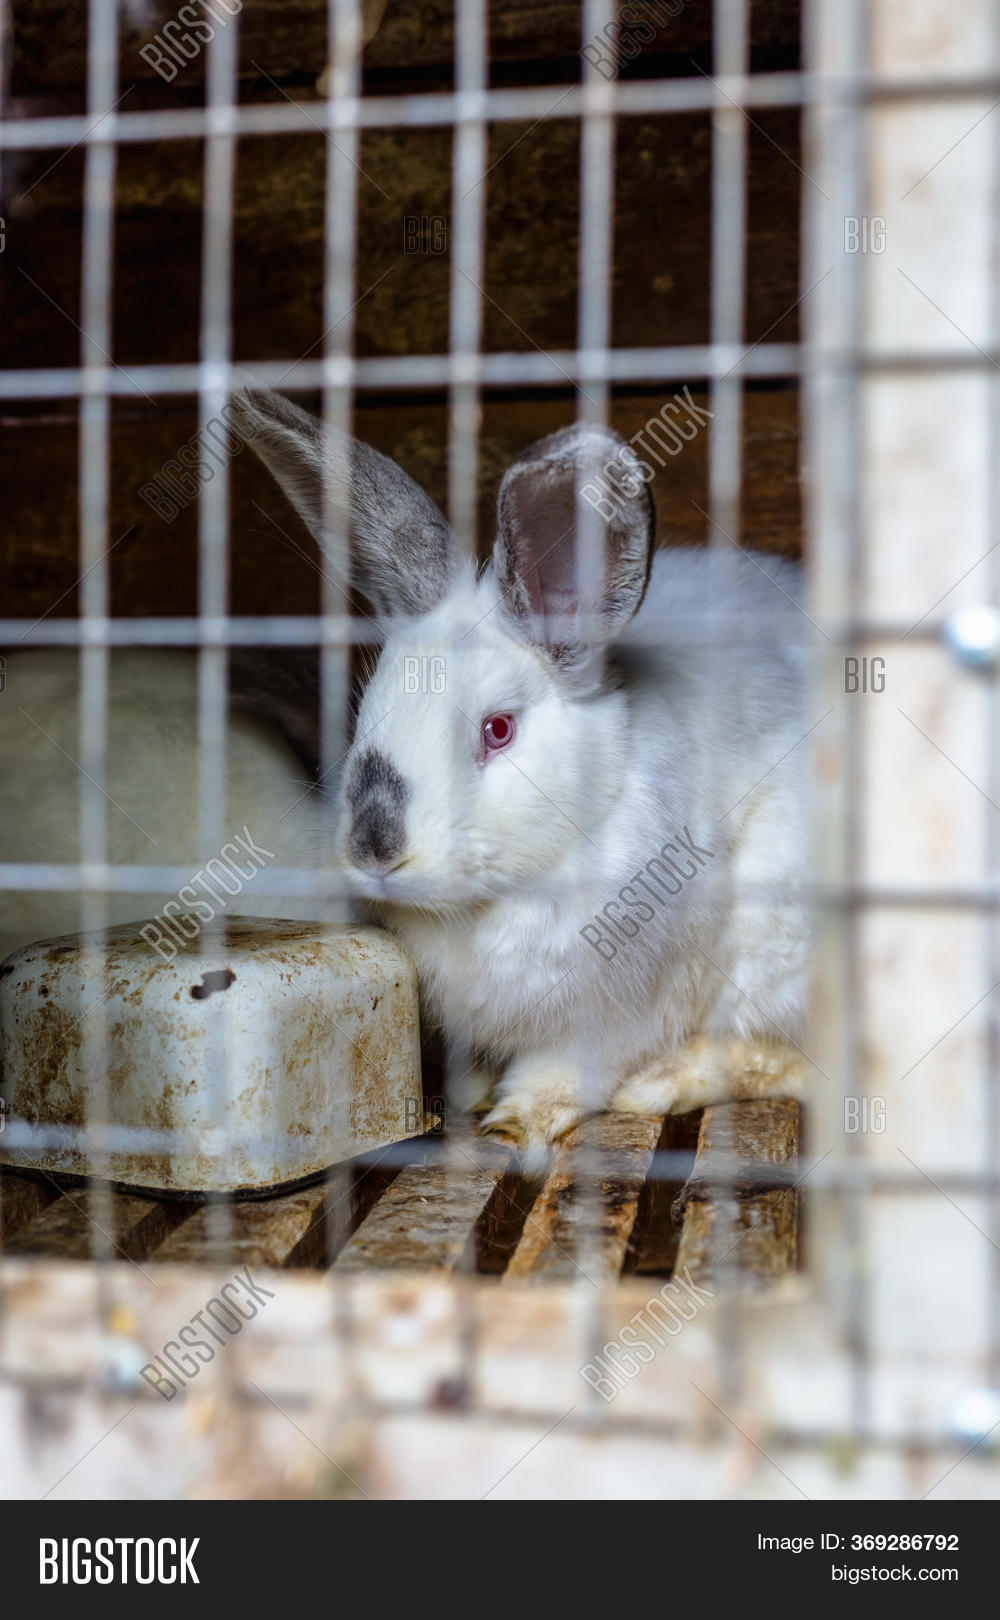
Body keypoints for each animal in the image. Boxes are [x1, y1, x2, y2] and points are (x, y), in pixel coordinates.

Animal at [231, 388, 812, 1161]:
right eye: (365, 715)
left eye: (498, 729)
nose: (376, 849)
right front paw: (468, 1096)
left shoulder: (620, 1007)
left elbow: (567, 1069)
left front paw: (516, 1122)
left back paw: (661, 1084)